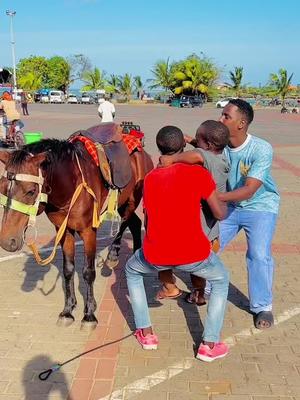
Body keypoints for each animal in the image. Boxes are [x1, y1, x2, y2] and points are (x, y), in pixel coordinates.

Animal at [0, 133, 154, 326]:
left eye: (30, 191)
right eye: (2, 188)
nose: (8, 241)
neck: (71, 184)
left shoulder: (89, 231)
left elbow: (88, 272)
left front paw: (89, 314)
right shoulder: (64, 230)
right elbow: (68, 270)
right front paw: (68, 310)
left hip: (131, 200)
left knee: (126, 221)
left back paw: (113, 254)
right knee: (134, 223)